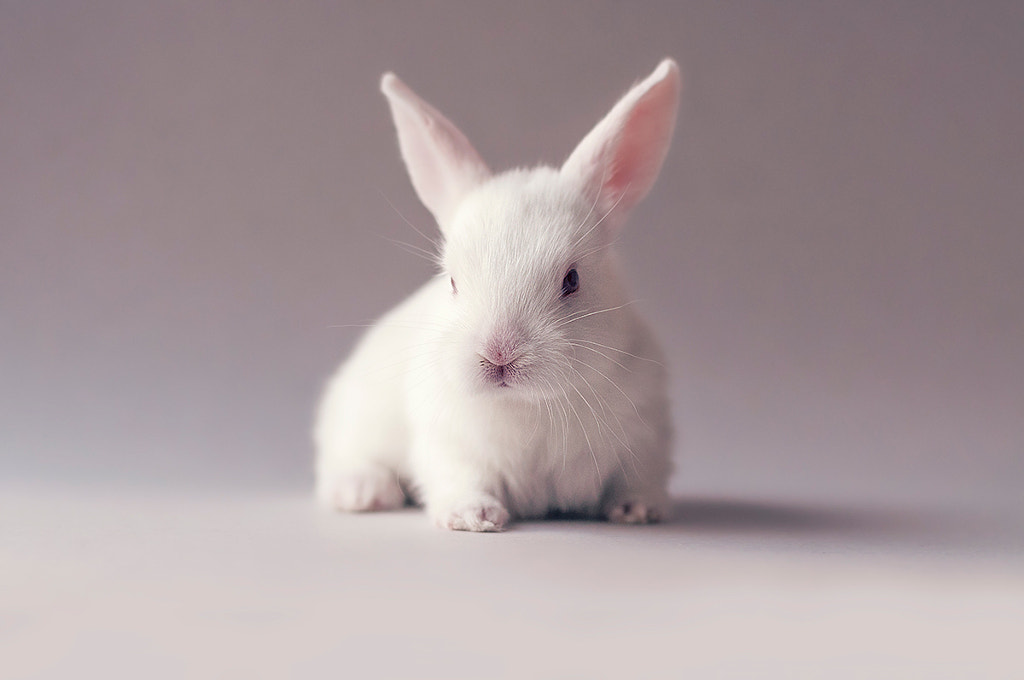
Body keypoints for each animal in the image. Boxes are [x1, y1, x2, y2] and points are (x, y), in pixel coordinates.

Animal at [311, 59, 679, 532]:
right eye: (452, 281)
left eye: (572, 279)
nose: (499, 354)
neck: (526, 405)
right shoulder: (449, 444)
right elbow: (463, 478)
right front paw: (475, 516)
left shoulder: (647, 436)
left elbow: (638, 478)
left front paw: (638, 510)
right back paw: (364, 492)